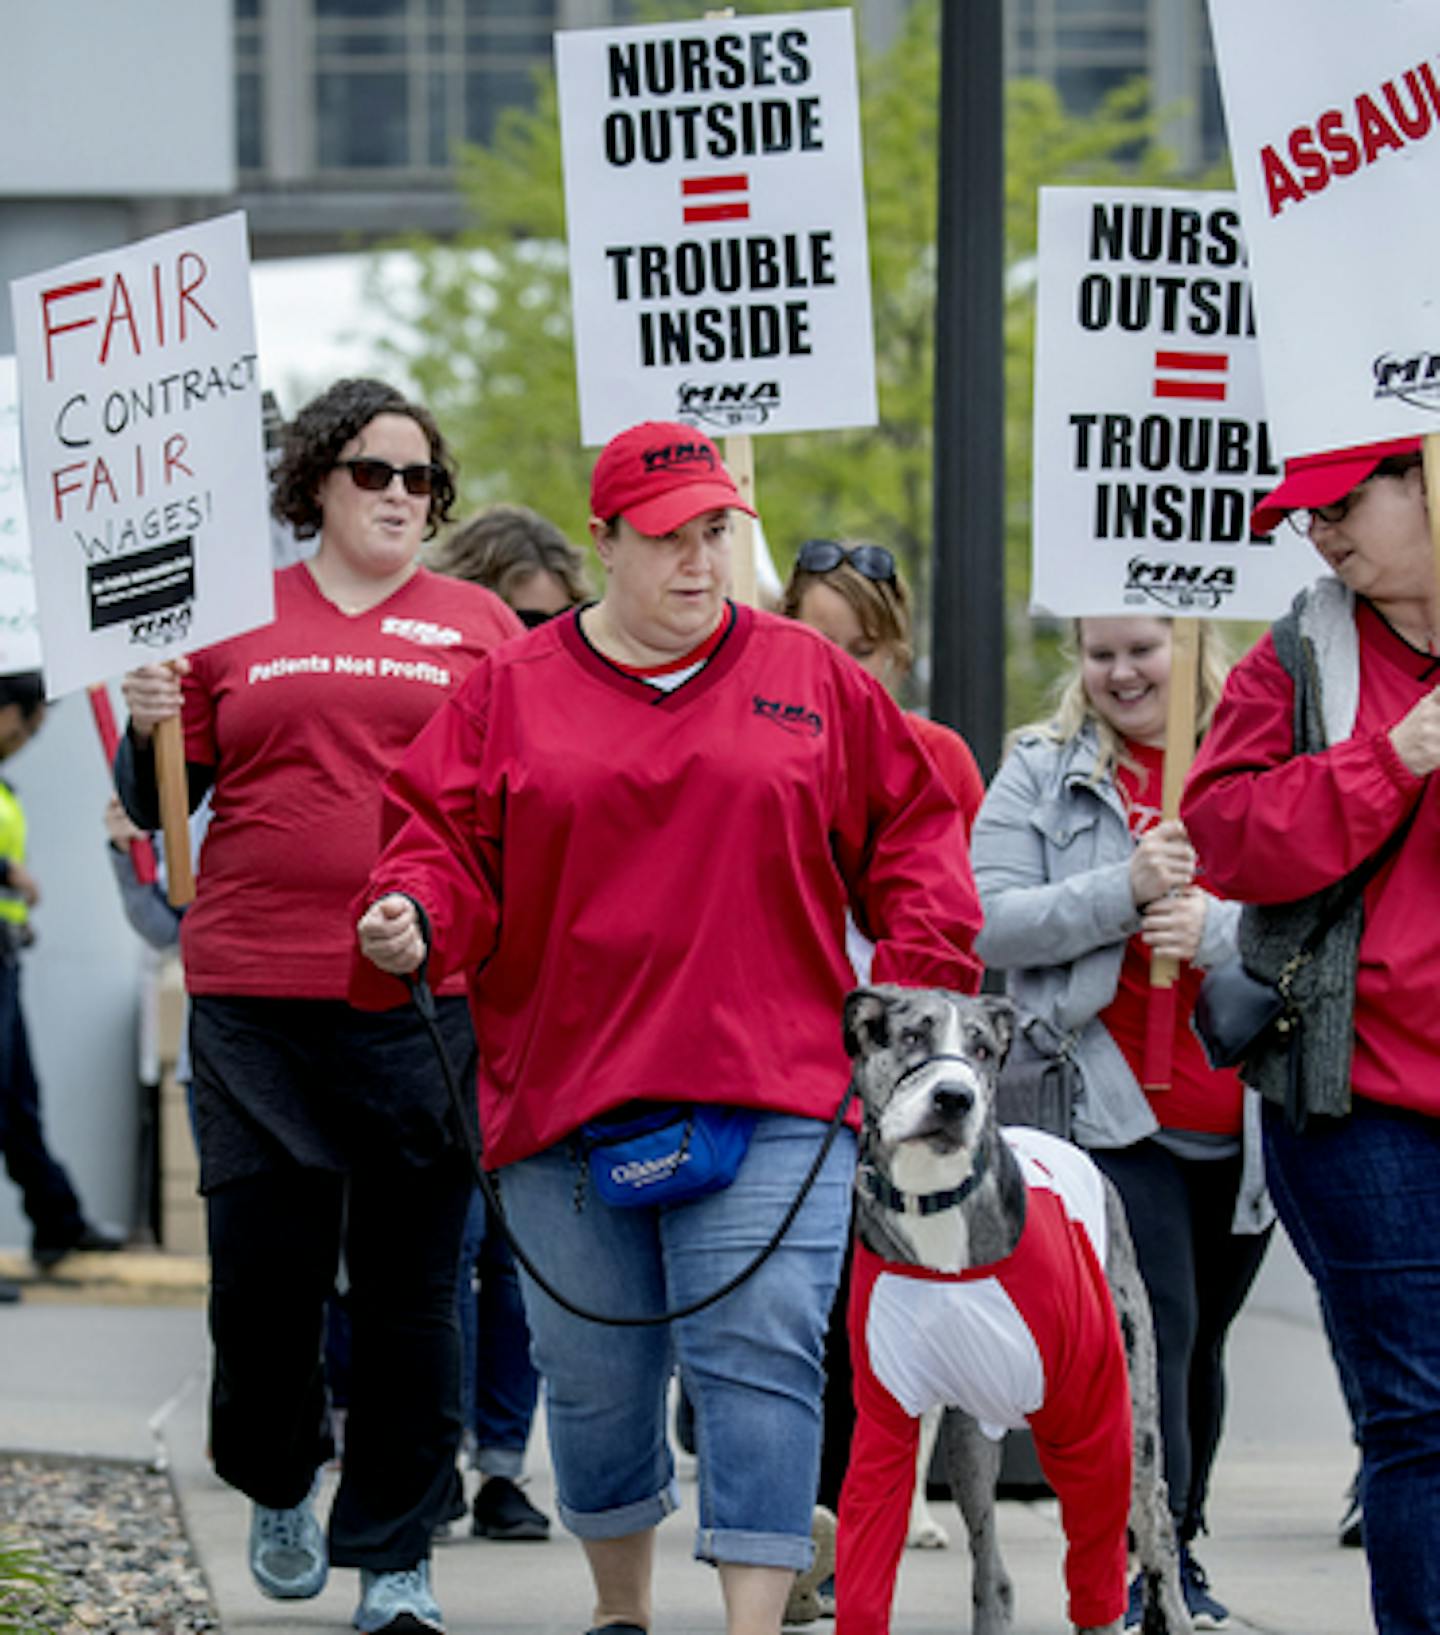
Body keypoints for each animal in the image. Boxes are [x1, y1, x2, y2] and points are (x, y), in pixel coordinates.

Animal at [830, 981, 1189, 1635]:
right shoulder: (889, 1416)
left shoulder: (1097, 1421)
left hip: (1134, 1413)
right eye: (911, 1036)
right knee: (990, 1566)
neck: (937, 1198)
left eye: (981, 1047)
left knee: (1151, 1515)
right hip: (972, 1434)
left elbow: (1100, 1564)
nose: (954, 1097)